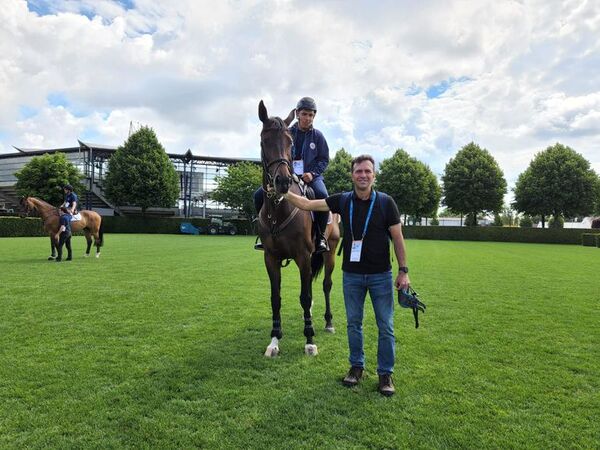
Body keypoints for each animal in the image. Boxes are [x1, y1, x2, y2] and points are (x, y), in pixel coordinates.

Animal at [256, 100, 340, 356]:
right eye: (264, 141)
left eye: (289, 142)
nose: (282, 181)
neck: (279, 209)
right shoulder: (271, 258)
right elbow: (276, 298)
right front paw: (274, 340)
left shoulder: (303, 255)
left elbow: (304, 295)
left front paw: (309, 339)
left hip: (330, 252)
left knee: (325, 285)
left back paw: (328, 322)